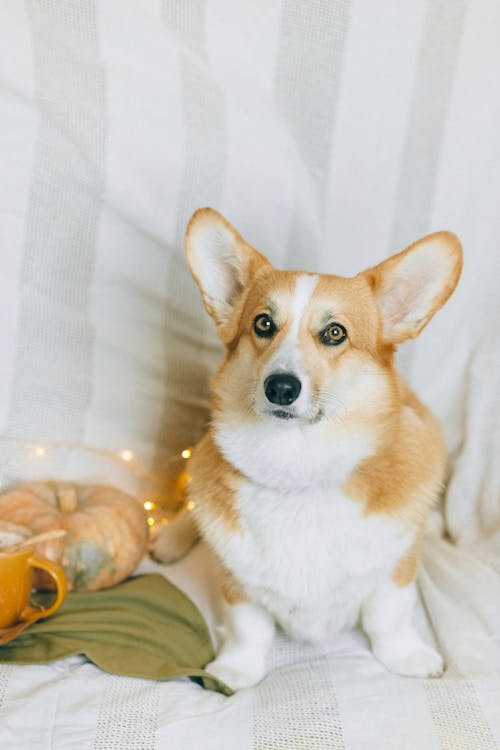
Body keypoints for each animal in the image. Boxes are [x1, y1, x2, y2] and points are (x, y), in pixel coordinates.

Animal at [154, 207, 462, 692]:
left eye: (335, 333)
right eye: (263, 324)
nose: (280, 387)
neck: (298, 469)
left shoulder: (394, 570)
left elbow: (388, 617)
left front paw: (407, 656)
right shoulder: (236, 582)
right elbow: (248, 629)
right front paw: (236, 669)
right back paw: (169, 538)